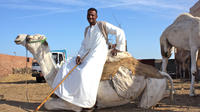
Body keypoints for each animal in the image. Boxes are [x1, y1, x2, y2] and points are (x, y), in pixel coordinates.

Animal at [14, 34, 173, 111]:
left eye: (31, 37)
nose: (18, 37)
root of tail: (161, 74)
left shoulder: (75, 104)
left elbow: (47, 104)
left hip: (152, 87)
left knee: (144, 104)